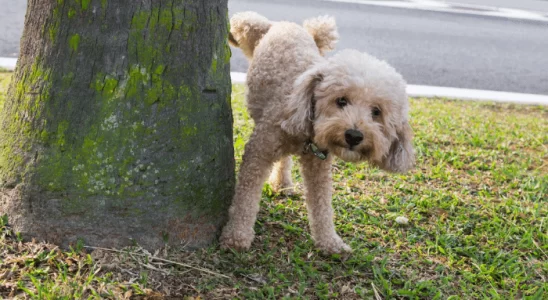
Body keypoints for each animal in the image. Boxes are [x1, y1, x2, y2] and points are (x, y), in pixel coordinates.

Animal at [220, 11, 414, 253]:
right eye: (341, 100)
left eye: (376, 112)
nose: (354, 136)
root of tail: (286, 25)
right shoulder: (259, 151)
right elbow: (246, 197)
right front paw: (237, 235)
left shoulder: (318, 165)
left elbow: (322, 205)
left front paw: (330, 242)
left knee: (284, 160)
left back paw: (282, 183)